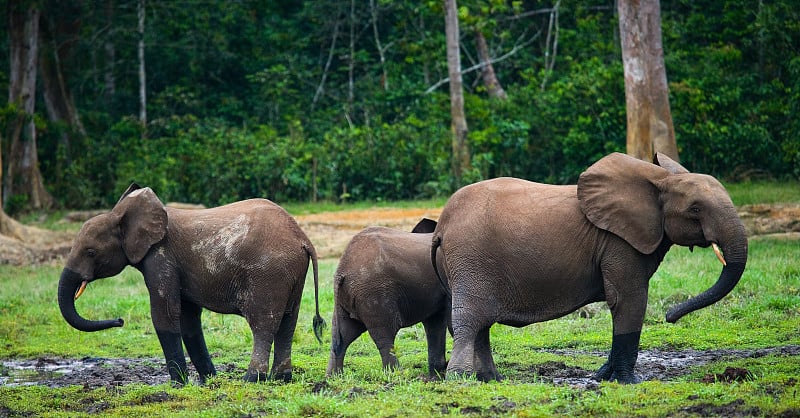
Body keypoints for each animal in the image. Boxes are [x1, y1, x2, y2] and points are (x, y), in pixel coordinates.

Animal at [56, 184, 326, 386]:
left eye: (91, 252)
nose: (120, 320)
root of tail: (302, 238)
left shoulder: (161, 257)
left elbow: (165, 314)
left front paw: (178, 385)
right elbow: (188, 319)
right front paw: (209, 381)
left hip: (268, 273)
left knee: (264, 324)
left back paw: (251, 379)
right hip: (290, 272)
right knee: (287, 323)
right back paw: (281, 379)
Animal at [324, 220, 450, 378]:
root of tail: (342, 270)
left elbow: (435, 322)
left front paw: (438, 373)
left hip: (347, 298)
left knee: (344, 333)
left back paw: (334, 377)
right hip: (374, 293)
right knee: (384, 334)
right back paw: (396, 375)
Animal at [432, 153, 752, 382]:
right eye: (695, 209)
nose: (670, 317)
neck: (660, 180)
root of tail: (442, 224)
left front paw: (602, 377)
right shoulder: (618, 242)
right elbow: (628, 299)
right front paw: (628, 382)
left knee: (482, 323)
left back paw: (492, 380)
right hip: (471, 259)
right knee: (470, 319)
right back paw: (460, 380)